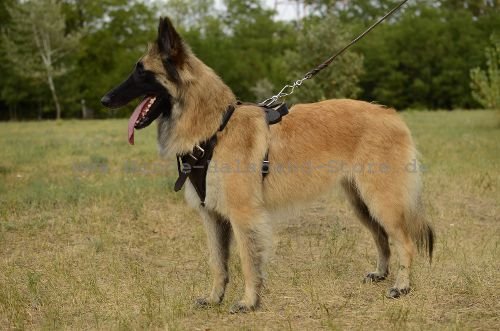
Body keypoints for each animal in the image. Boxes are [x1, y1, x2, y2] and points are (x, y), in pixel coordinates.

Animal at [100, 17, 434, 314]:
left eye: (142, 72)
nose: (104, 99)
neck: (214, 130)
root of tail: (391, 114)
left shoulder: (244, 215)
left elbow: (248, 262)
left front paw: (249, 302)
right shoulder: (212, 217)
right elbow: (218, 264)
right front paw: (214, 299)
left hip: (381, 201)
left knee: (405, 241)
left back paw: (402, 286)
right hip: (361, 203)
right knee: (381, 237)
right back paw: (381, 274)